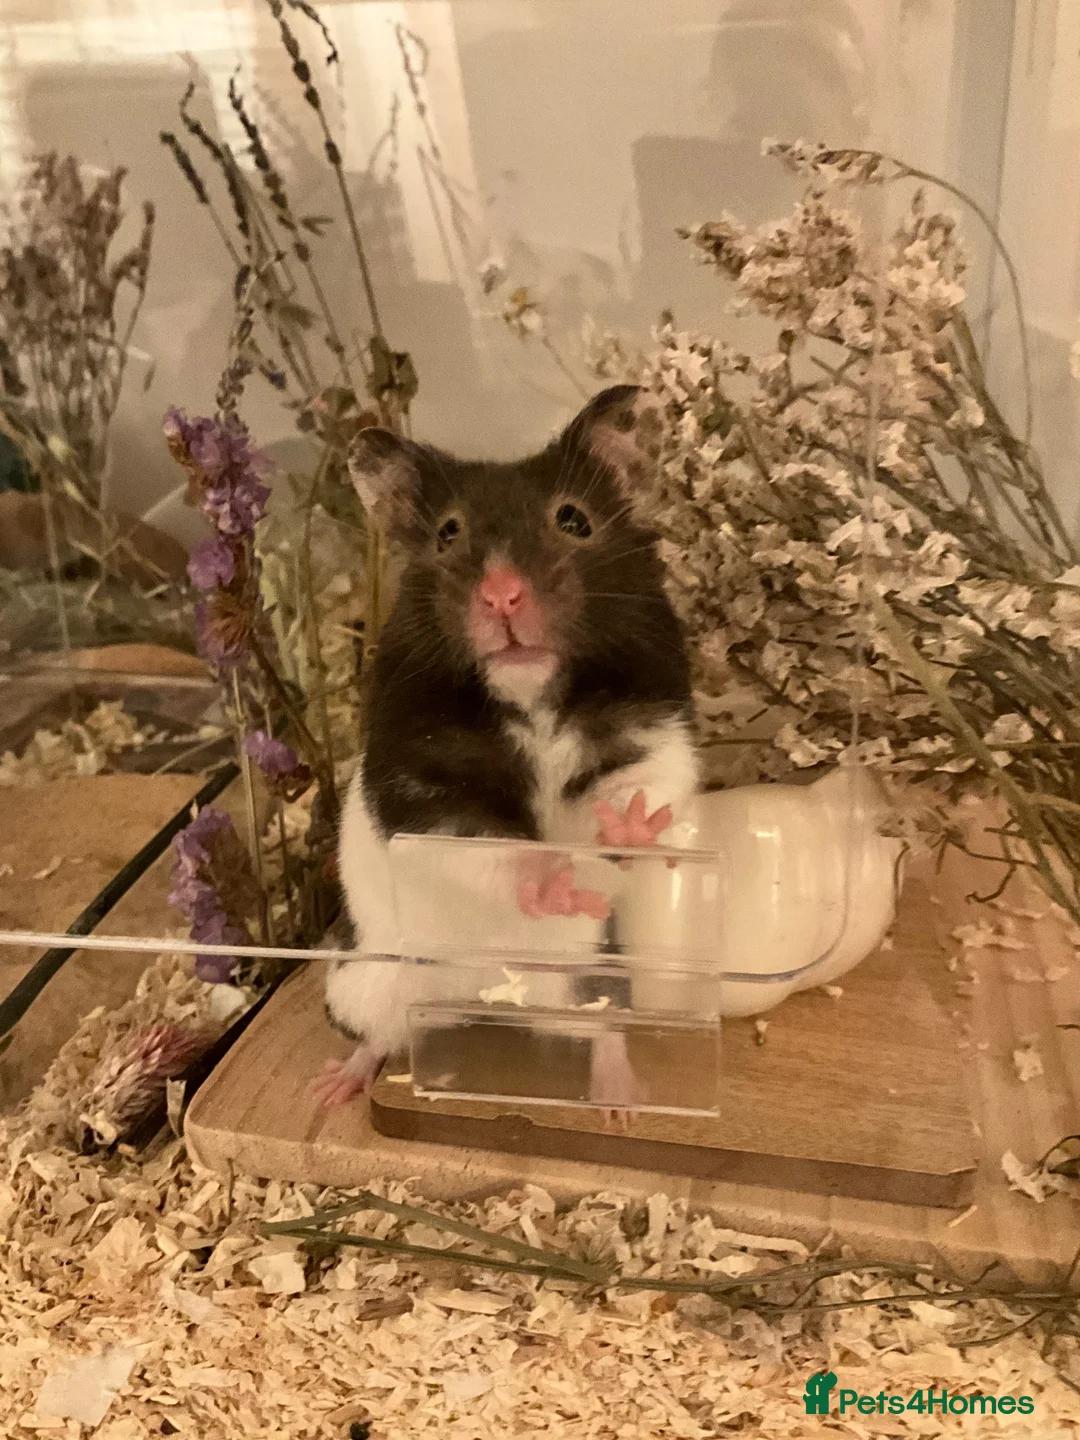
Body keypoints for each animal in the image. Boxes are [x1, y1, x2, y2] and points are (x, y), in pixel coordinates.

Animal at [314, 384, 700, 1110]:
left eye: (573, 520)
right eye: (448, 533)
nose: (501, 595)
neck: (529, 694)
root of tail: (489, 997)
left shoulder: (654, 735)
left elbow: (638, 790)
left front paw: (627, 830)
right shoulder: (420, 786)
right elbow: (485, 844)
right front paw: (550, 883)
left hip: (590, 981)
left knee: (605, 1030)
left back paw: (618, 1103)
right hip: (366, 980)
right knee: (377, 1037)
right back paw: (331, 1088)